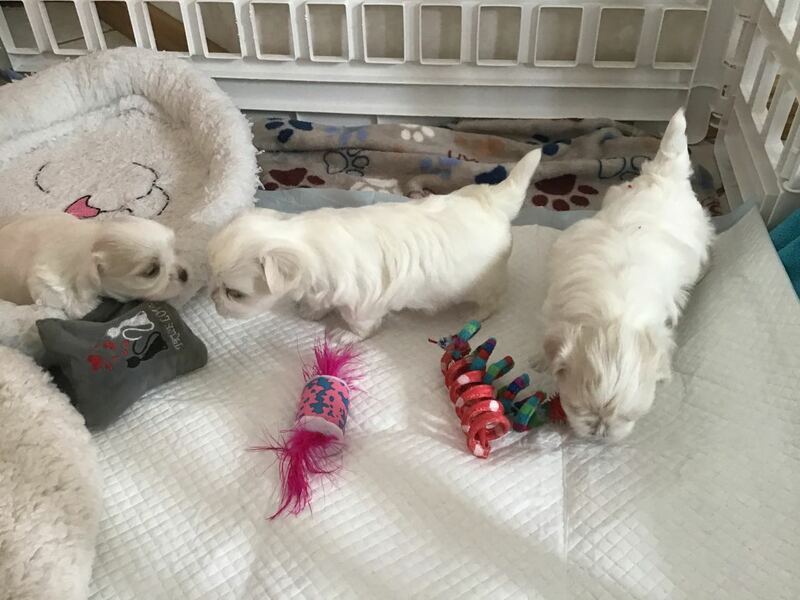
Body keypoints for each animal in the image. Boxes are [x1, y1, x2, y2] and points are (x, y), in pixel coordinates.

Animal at [0, 212, 188, 318]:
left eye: (173, 247)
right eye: (151, 271)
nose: (185, 274)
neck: (89, 244)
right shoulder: (43, 280)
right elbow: (61, 297)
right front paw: (87, 306)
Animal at [208, 148, 543, 338]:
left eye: (235, 294)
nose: (212, 300)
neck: (307, 241)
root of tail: (493, 201)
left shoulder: (363, 301)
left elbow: (361, 326)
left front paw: (345, 337)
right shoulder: (323, 289)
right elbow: (318, 302)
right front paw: (310, 312)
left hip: (486, 283)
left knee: (494, 301)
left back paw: (473, 316)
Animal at [537, 109, 714, 441]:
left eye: (631, 416)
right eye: (579, 409)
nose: (600, 433)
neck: (610, 315)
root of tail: (664, 175)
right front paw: (539, 360)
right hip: (616, 193)